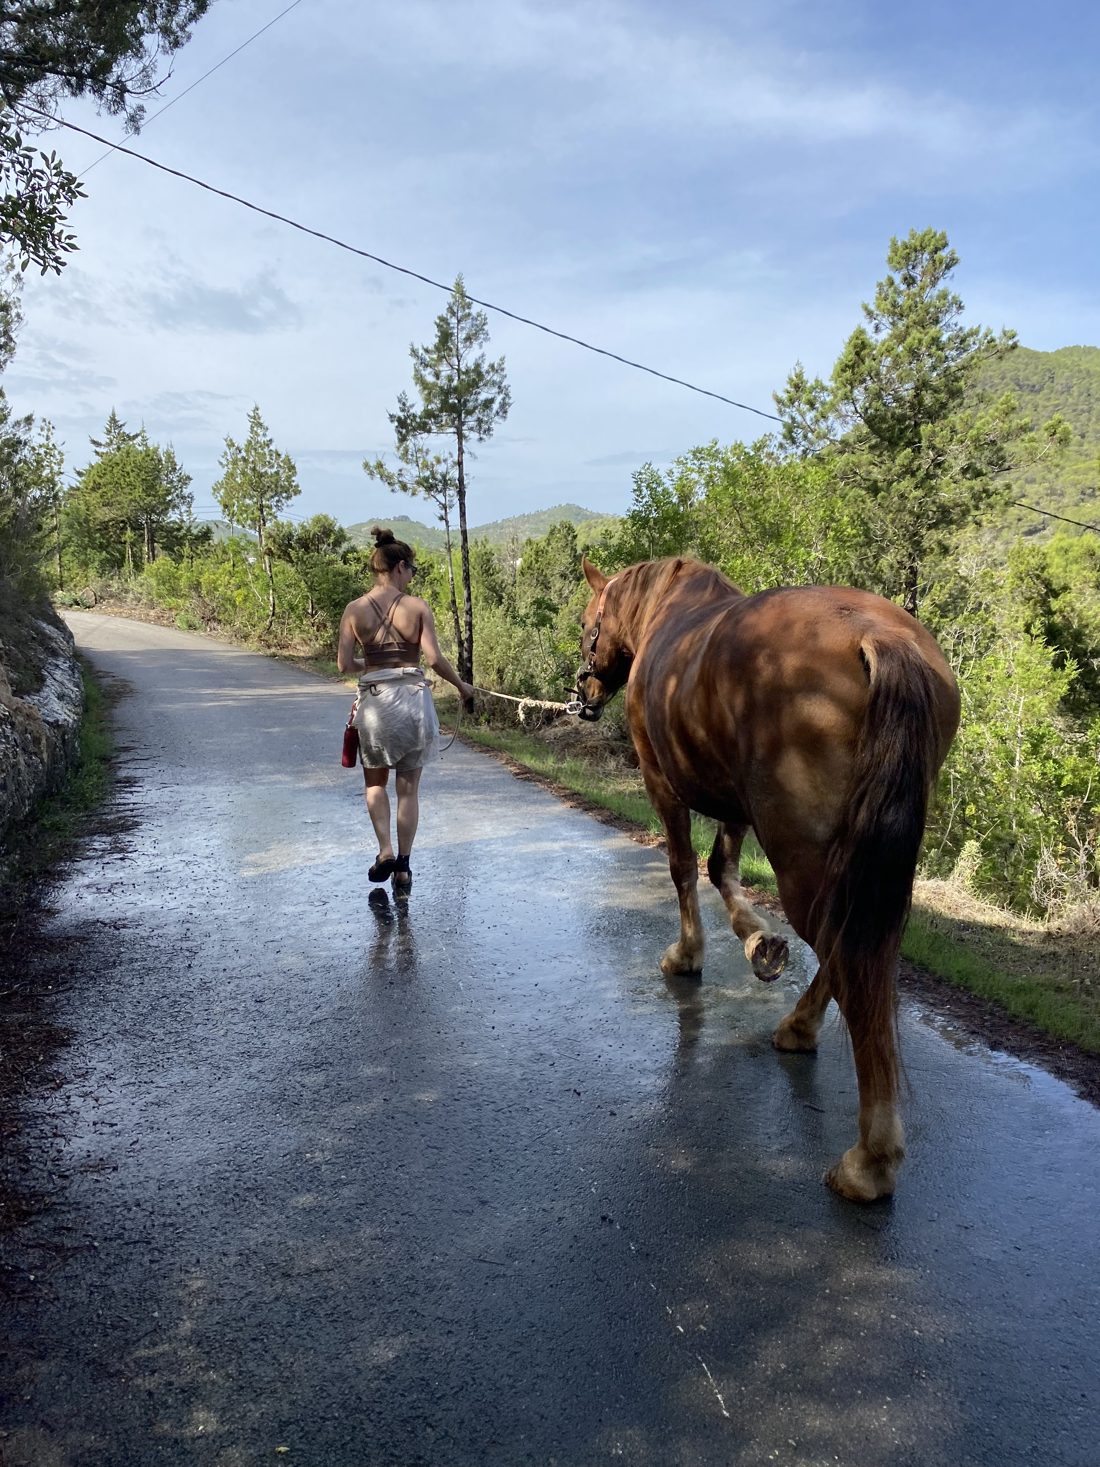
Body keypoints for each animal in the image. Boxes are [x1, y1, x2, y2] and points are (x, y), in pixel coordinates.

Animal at [575, 555, 960, 1201]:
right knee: (850, 950)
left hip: (801, 859)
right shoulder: (735, 800)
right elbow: (721, 868)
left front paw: (688, 955)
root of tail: (879, 637)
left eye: (588, 624)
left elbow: (684, 867)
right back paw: (799, 1027)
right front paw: (760, 942)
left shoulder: (661, 781)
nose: (585, 692)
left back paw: (870, 1159)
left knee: (847, 958)